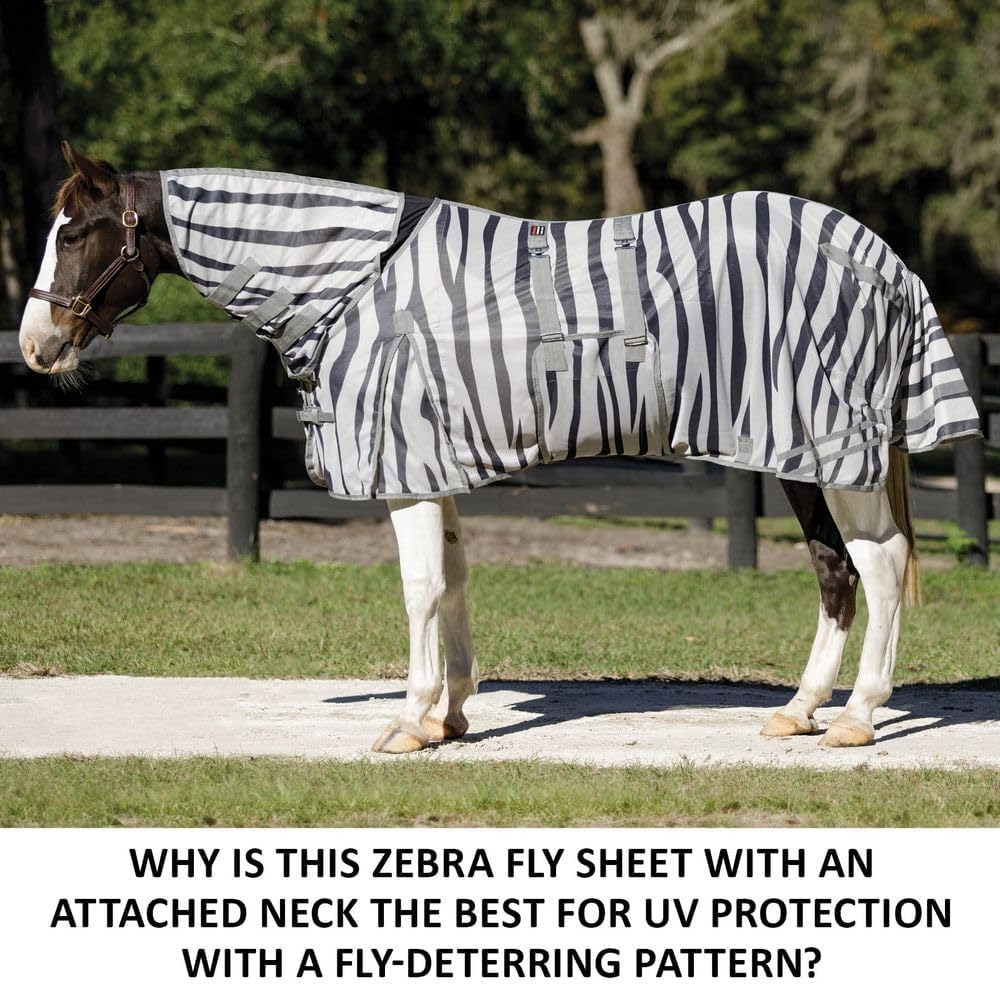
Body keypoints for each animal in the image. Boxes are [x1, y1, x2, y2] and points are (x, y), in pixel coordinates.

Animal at [19, 143, 980, 754]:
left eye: (75, 232)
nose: (35, 346)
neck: (356, 284)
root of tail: (880, 258)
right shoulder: (432, 463)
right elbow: (451, 582)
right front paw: (449, 717)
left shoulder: (404, 466)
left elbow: (418, 589)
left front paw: (409, 723)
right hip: (800, 458)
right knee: (836, 572)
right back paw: (802, 710)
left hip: (833, 452)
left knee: (881, 565)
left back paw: (856, 718)